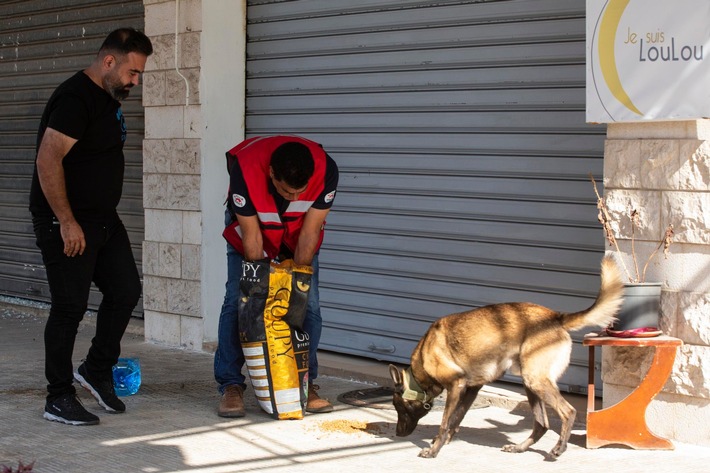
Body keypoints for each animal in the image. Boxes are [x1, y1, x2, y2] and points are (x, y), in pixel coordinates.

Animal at [390, 254, 624, 458]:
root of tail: (555, 317)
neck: (423, 358)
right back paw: (520, 448)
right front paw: (445, 440)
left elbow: (446, 421)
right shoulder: (471, 389)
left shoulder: (457, 386)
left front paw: (434, 449)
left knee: (568, 412)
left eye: (398, 406)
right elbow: (457, 418)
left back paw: (558, 449)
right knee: (542, 424)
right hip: (531, 384)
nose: (398, 434)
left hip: (535, 381)